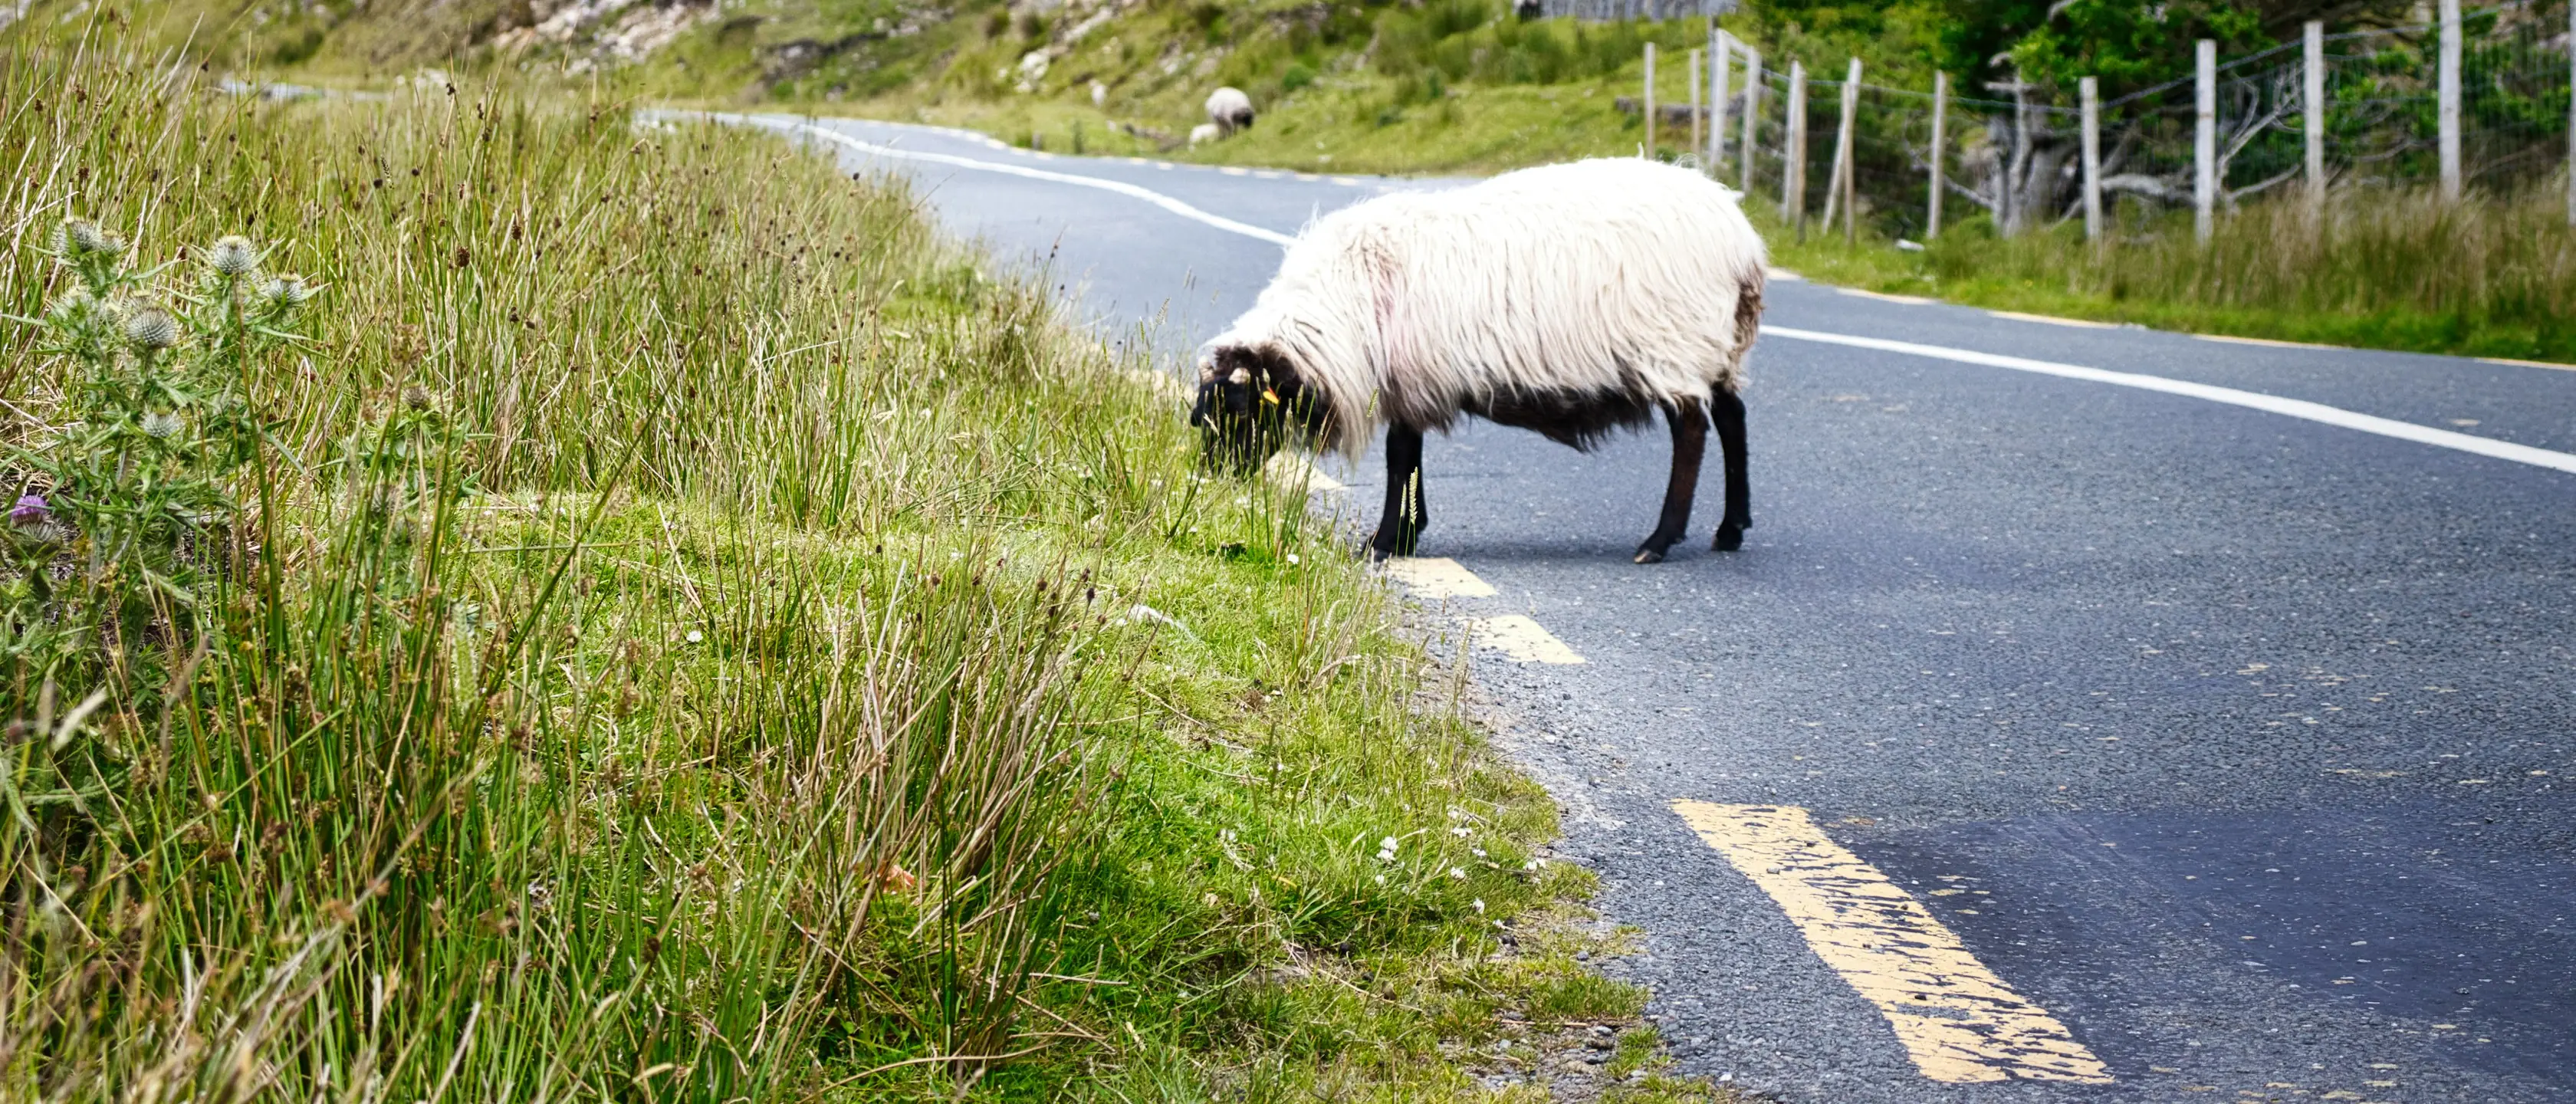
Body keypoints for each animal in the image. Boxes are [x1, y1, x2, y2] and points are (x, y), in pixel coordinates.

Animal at [1190, 157, 1767, 564]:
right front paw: (1406, 533)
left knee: (1692, 431)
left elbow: (1400, 458)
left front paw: (1384, 542)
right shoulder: (1411, 380)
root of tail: (1741, 239)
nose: (1211, 480)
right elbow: (1409, 459)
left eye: (1237, 409)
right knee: (1732, 418)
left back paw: (1661, 540)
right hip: (1717, 344)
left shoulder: (1409, 378)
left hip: (1675, 341)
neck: (1340, 307)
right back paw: (1731, 529)